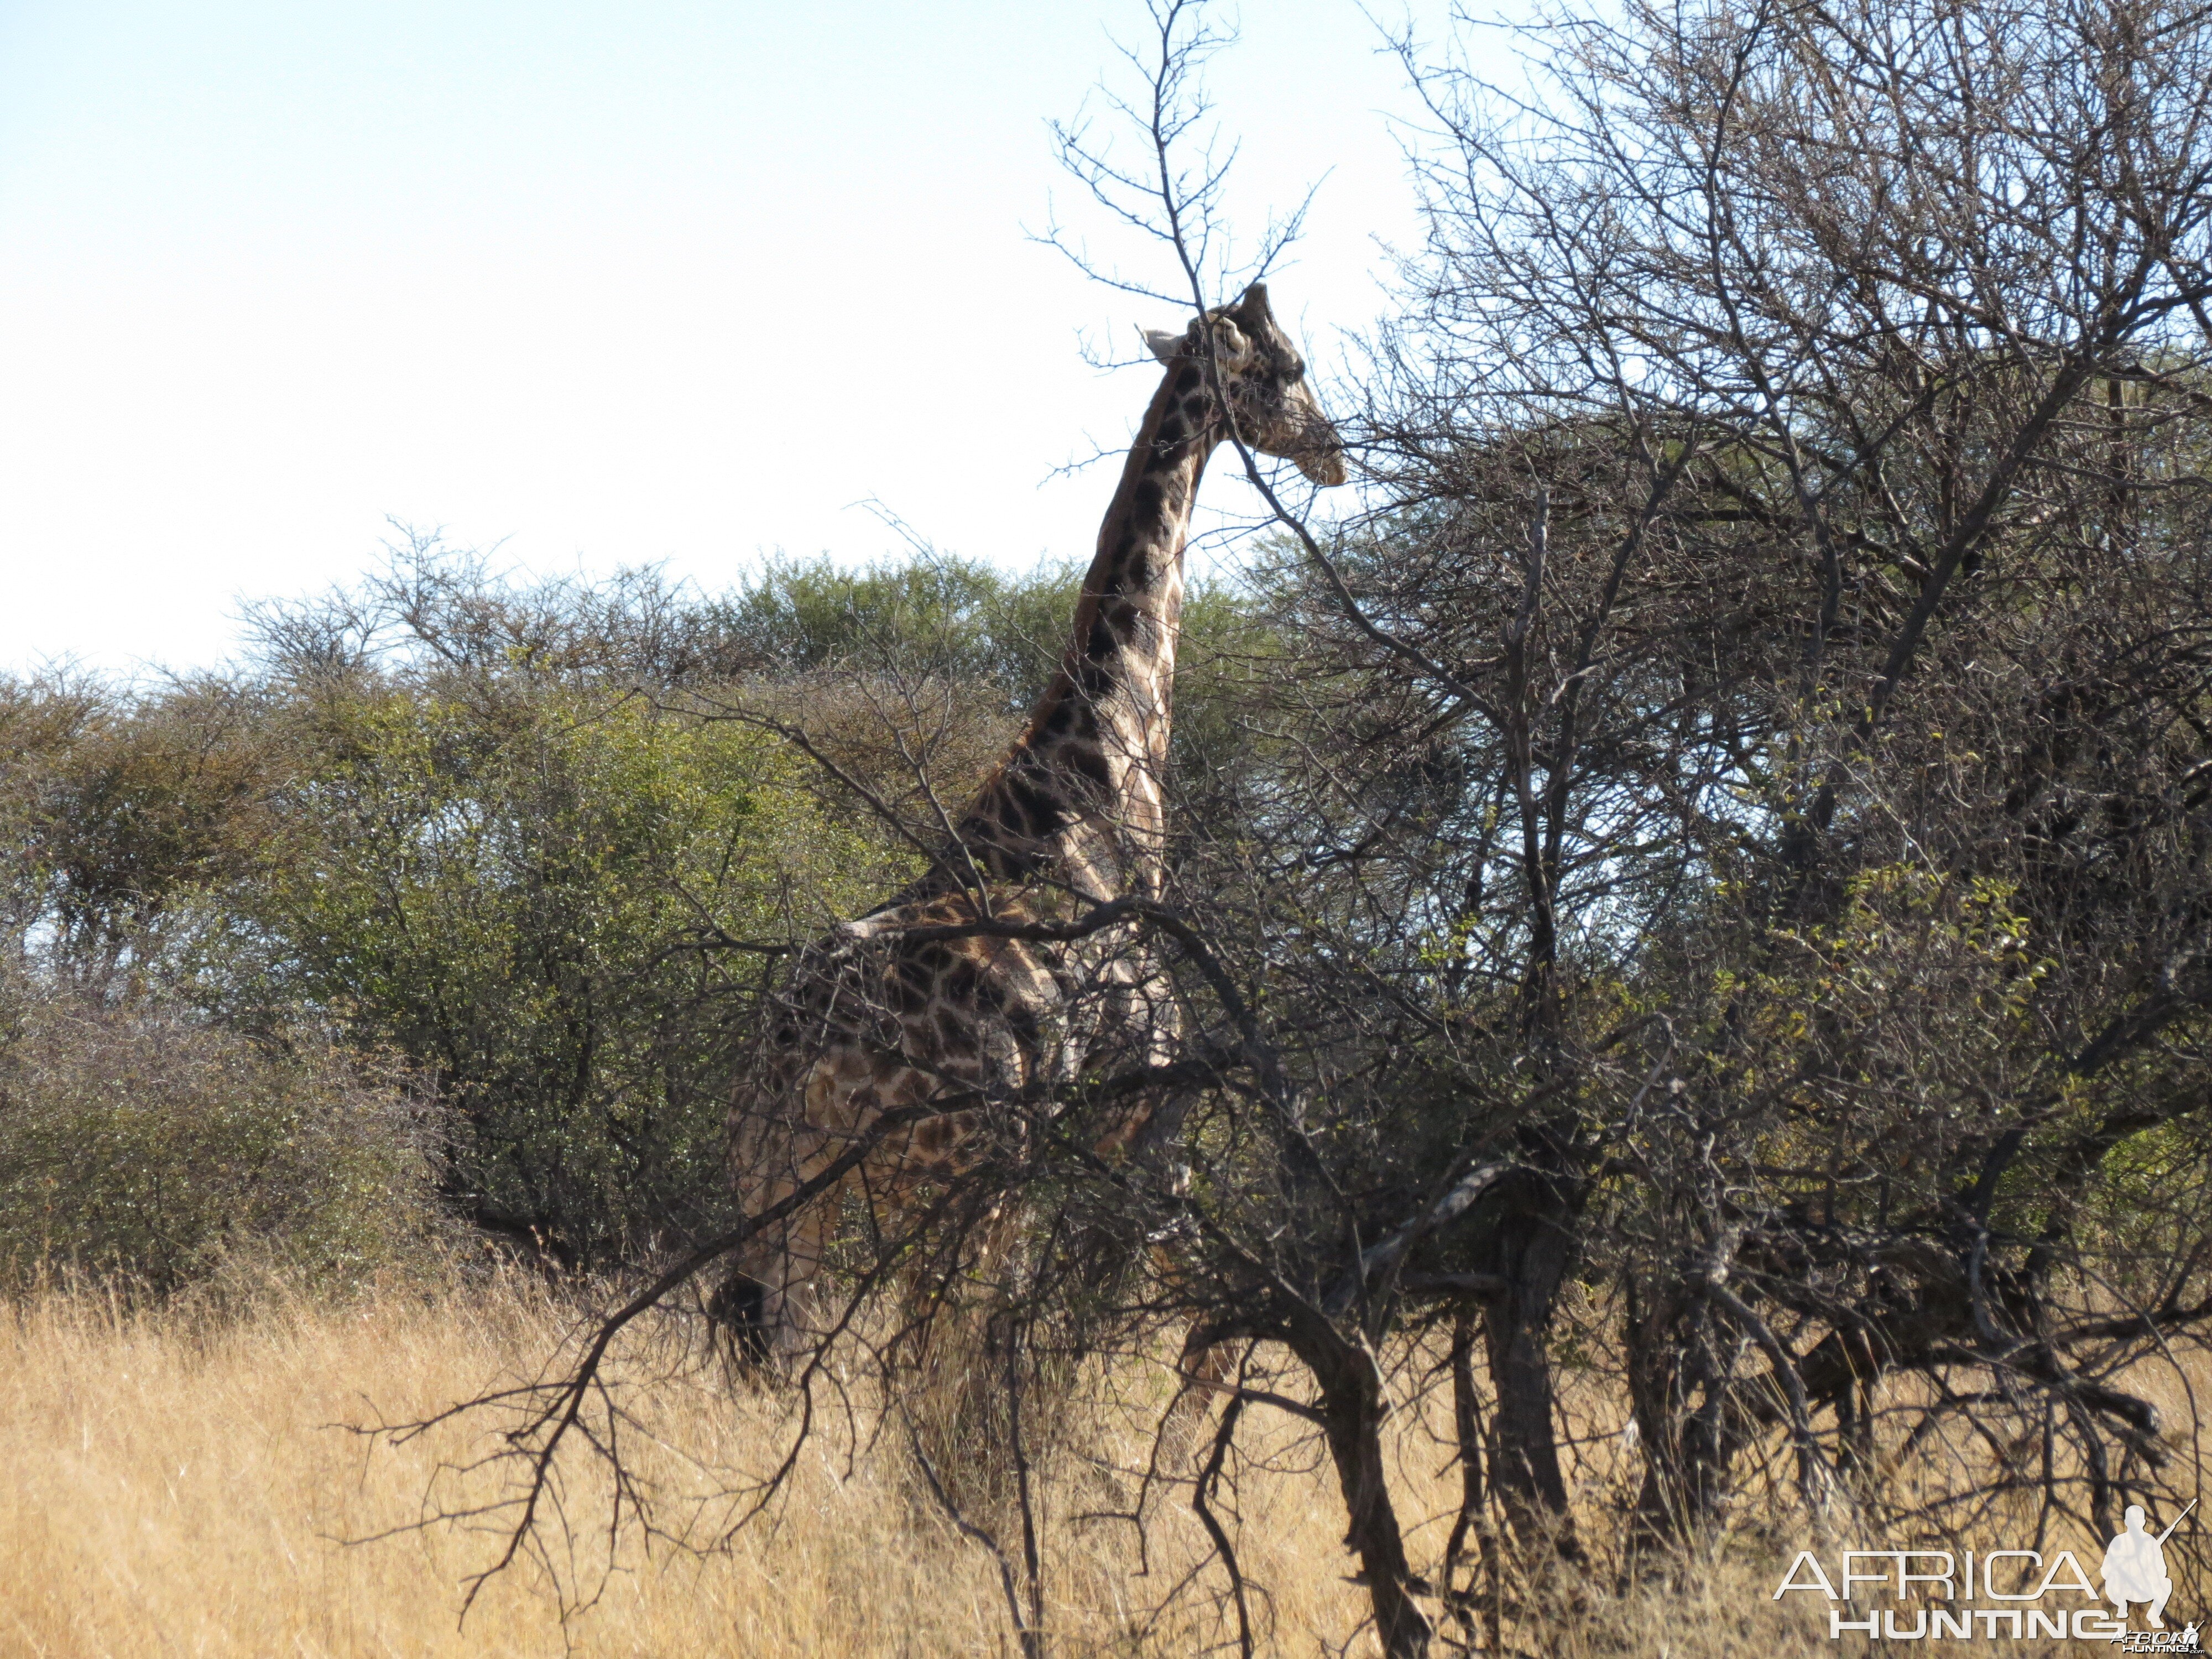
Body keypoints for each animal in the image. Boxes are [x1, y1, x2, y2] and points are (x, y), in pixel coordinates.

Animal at [717, 285, 1336, 1371]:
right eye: (1291, 366)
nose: (1337, 447)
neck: (1101, 792)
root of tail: (804, 1039)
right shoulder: (1132, 1119)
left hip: (787, 1171)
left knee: (769, 1336)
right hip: (971, 1166)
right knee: (924, 1347)